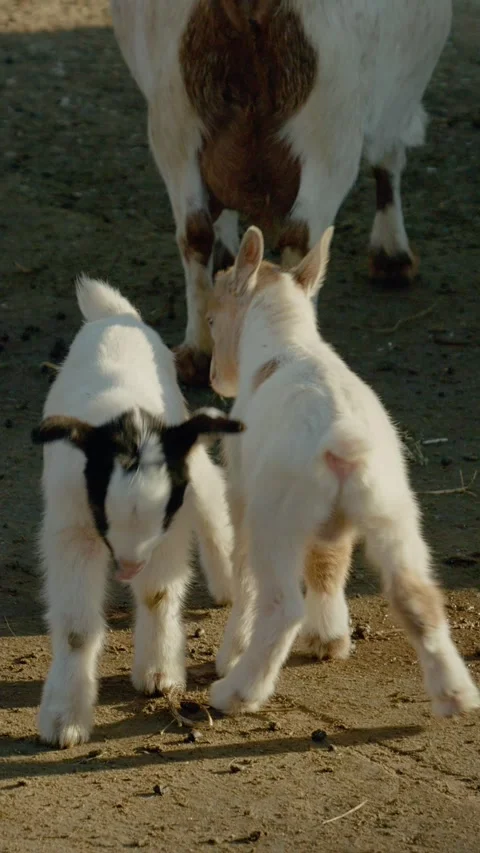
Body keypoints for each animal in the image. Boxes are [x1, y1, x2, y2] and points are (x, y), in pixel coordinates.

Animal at [32, 275, 243, 747]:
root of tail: (116, 316)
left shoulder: (171, 526)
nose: (128, 566)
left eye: (161, 513)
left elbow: (157, 594)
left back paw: (226, 581)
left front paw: (159, 674)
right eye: (102, 510)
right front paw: (64, 721)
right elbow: (76, 630)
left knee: (213, 494)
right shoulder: (73, 529)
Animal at [110, 0, 452, 386]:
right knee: (302, 239)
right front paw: (392, 256)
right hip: (329, 128)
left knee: (194, 232)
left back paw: (197, 352)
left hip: (175, 118)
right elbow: (389, 157)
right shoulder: (398, 98)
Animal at [205, 225, 479, 718]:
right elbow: (328, 563)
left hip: (276, 517)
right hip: (393, 511)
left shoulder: (239, 493)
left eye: (213, 320)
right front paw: (329, 640)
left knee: (281, 605)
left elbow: (244, 575)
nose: (216, 377)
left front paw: (230, 652)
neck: (289, 344)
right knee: (418, 597)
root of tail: (340, 434)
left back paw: (236, 692)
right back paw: (456, 696)